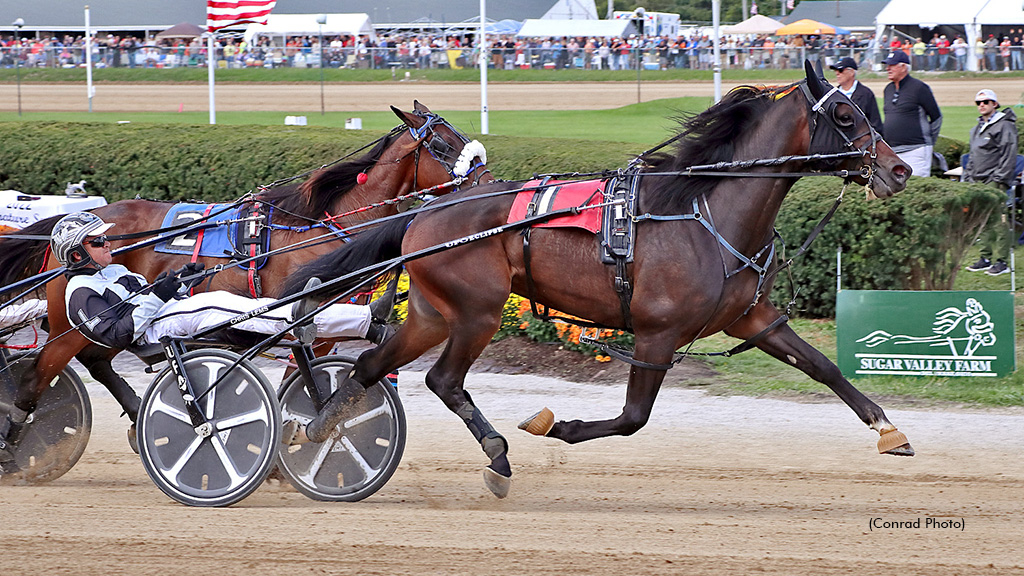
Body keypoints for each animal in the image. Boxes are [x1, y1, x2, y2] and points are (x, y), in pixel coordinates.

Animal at [0, 100, 489, 446]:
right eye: (443, 145)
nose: (487, 185)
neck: (321, 225)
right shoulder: (303, 316)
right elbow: (300, 376)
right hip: (71, 323)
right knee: (39, 374)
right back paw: (16, 441)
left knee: (97, 361)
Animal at [282, 60, 913, 496]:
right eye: (845, 115)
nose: (901, 169)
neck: (703, 213)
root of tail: (425, 211)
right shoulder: (659, 334)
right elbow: (633, 419)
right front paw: (555, 426)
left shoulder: (751, 317)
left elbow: (823, 366)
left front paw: (888, 429)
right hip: (478, 310)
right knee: (442, 378)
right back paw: (489, 452)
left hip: (436, 312)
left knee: (376, 364)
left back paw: (323, 428)